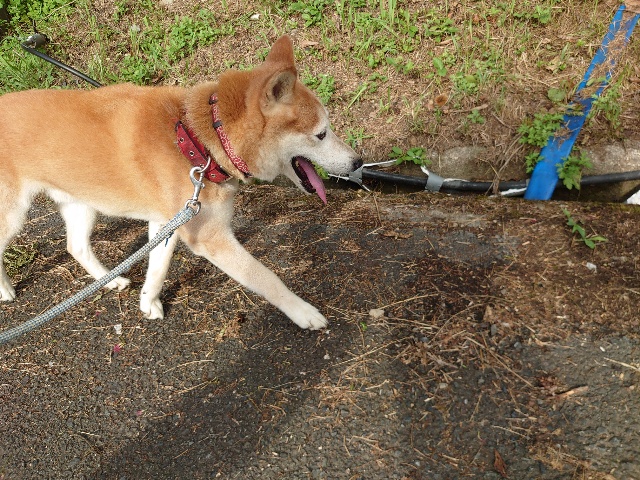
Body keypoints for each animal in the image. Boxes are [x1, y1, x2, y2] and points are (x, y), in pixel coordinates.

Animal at [0, 35, 362, 330]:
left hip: (82, 204)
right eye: (321, 134)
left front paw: (148, 302)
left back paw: (109, 282)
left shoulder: (169, 220)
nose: (358, 162)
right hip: (14, 215)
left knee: (75, 246)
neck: (198, 141)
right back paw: (5, 289)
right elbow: (266, 277)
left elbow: (158, 268)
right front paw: (302, 312)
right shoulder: (210, 238)